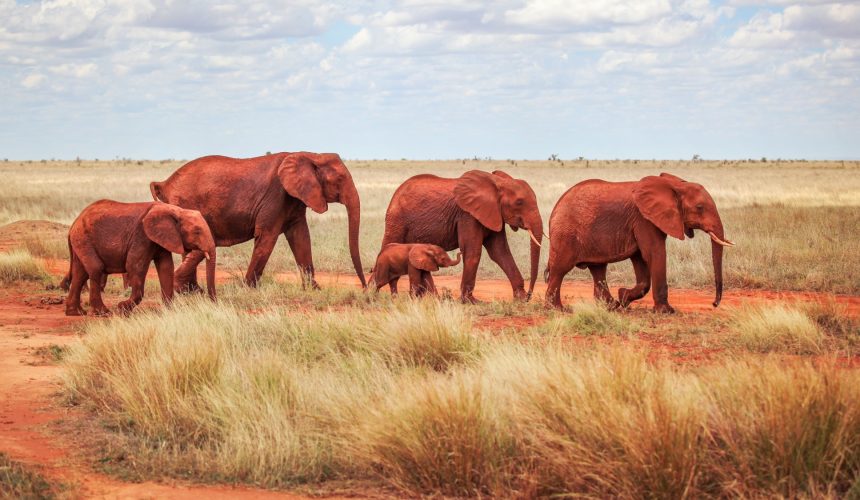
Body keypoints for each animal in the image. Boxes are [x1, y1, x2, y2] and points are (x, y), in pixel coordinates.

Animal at [65, 200, 217, 314]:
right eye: (197, 231)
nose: (213, 302)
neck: (176, 210)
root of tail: (74, 223)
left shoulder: (161, 238)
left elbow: (166, 267)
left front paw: (169, 311)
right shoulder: (141, 236)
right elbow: (135, 266)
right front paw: (122, 308)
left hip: (80, 240)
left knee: (80, 273)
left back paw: (76, 312)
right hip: (84, 238)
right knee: (96, 269)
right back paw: (102, 312)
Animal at [149, 152, 364, 292]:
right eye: (339, 180)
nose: (364, 288)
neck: (311, 155)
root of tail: (164, 184)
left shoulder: (294, 199)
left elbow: (301, 237)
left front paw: (314, 290)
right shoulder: (276, 197)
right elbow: (267, 238)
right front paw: (248, 289)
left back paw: (192, 291)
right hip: (184, 204)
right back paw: (190, 291)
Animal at [382, 170, 544, 302]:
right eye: (519, 202)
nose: (530, 295)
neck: (497, 183)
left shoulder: (494, 214)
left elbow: (500, 253)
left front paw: (521, 299)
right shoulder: (467, 215)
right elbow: (473, 252)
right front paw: (471, 301)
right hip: (396, 219)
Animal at [548, 172, 736, 312]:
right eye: (699, 208)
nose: (714, 304)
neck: (674, 185)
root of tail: (556, 206)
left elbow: (641, 259)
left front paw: (623, 297)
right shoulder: (644, 220)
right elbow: (654, 253)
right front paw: (666, 312)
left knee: (598, 269)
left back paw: (611, 306)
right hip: (565, 234)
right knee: (560, 269)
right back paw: (558, 309)